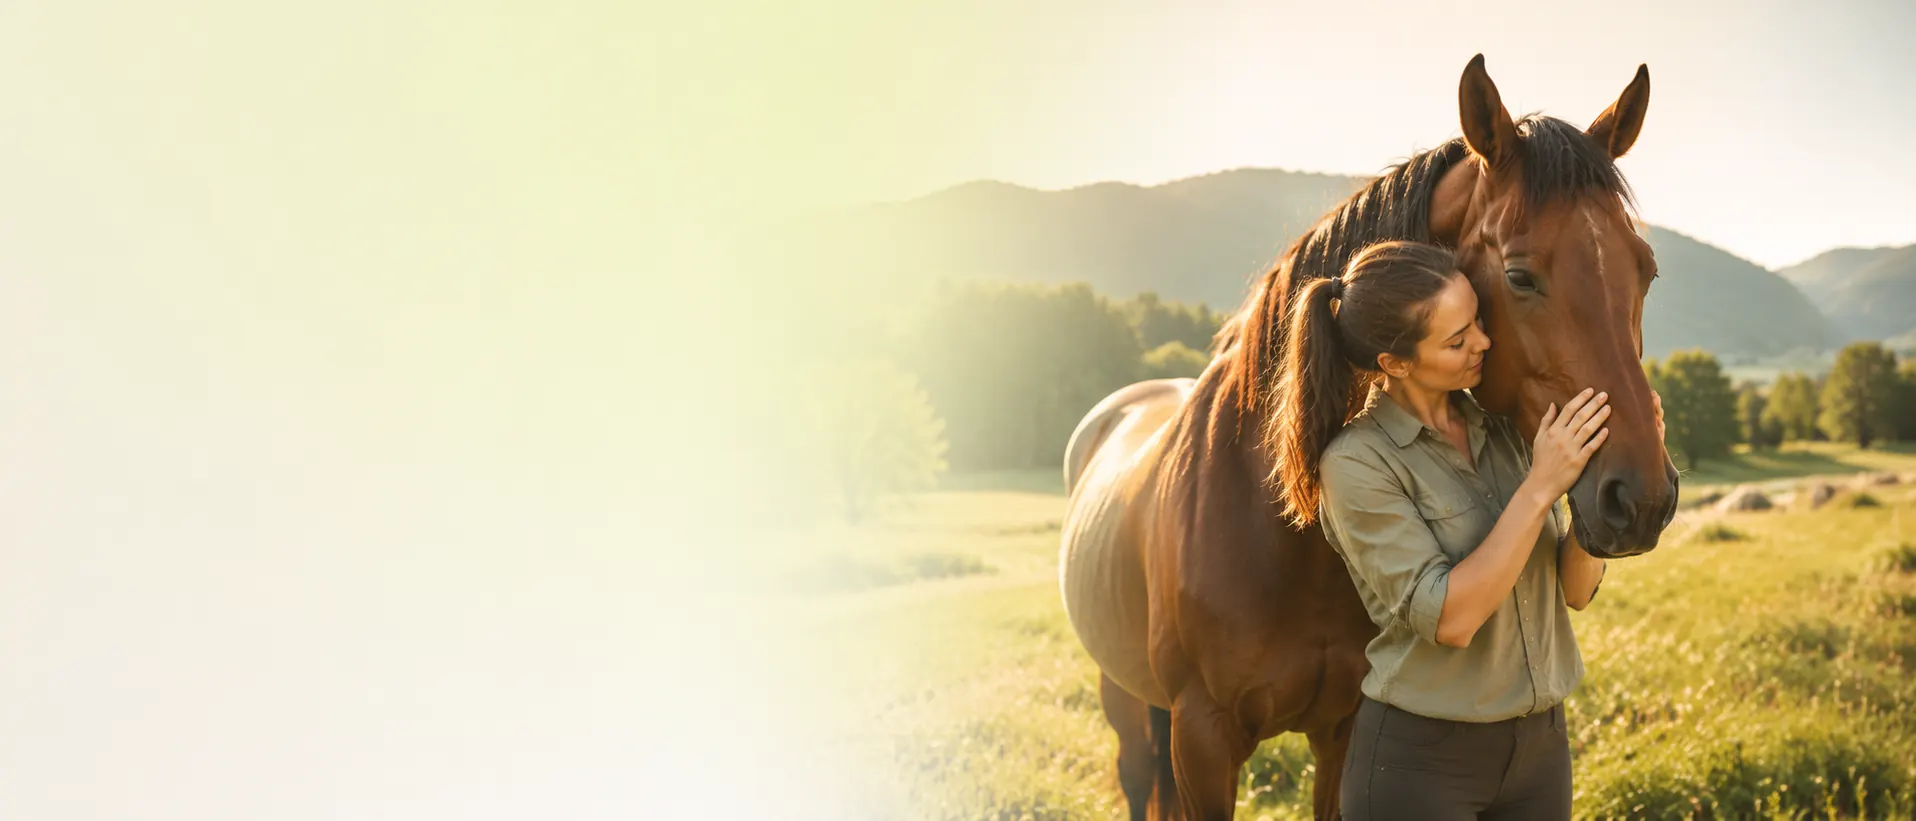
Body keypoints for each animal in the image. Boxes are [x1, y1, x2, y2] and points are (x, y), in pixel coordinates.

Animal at [1057, 55, 1680, 820]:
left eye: (1645, 269)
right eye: (1519, 275)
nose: (1642, 499)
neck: (1282, 527)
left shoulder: (1345, 730)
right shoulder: (1203, 738)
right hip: (1125, 701)